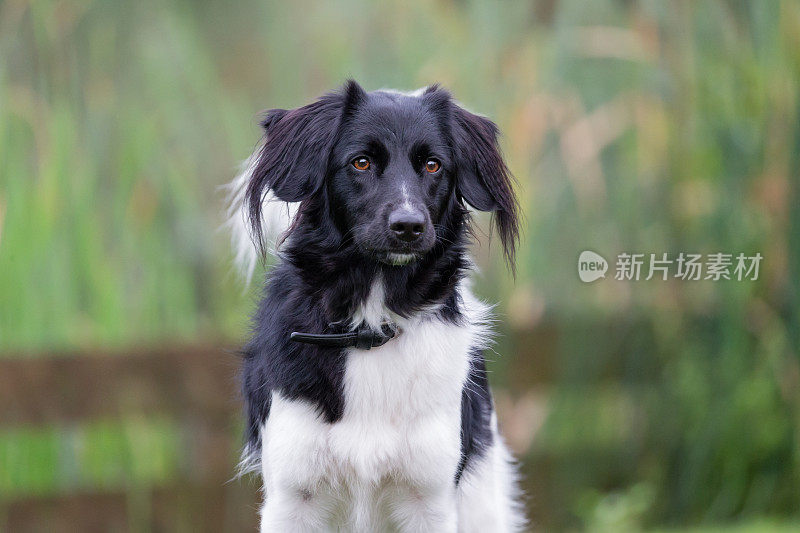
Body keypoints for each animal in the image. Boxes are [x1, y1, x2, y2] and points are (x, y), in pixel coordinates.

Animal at [227, 81, 524, 528]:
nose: (409, 227)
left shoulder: (430, 499)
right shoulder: (293, 499)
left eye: (433, 166)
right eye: (361, 163)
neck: (370, 325)